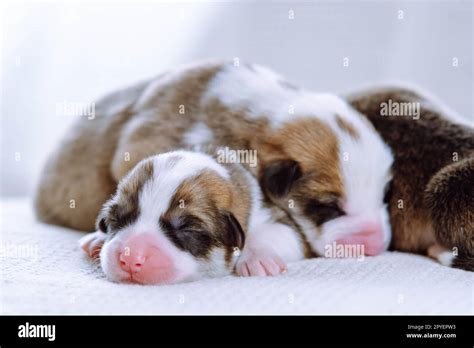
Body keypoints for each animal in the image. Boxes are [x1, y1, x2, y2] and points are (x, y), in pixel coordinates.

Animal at [79, 151, 306, 284]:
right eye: (115, 219)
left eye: (186, 229)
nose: (130, 258)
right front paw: (97, 237)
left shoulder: (273, 214)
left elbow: (279, 232)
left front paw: (259, 258)